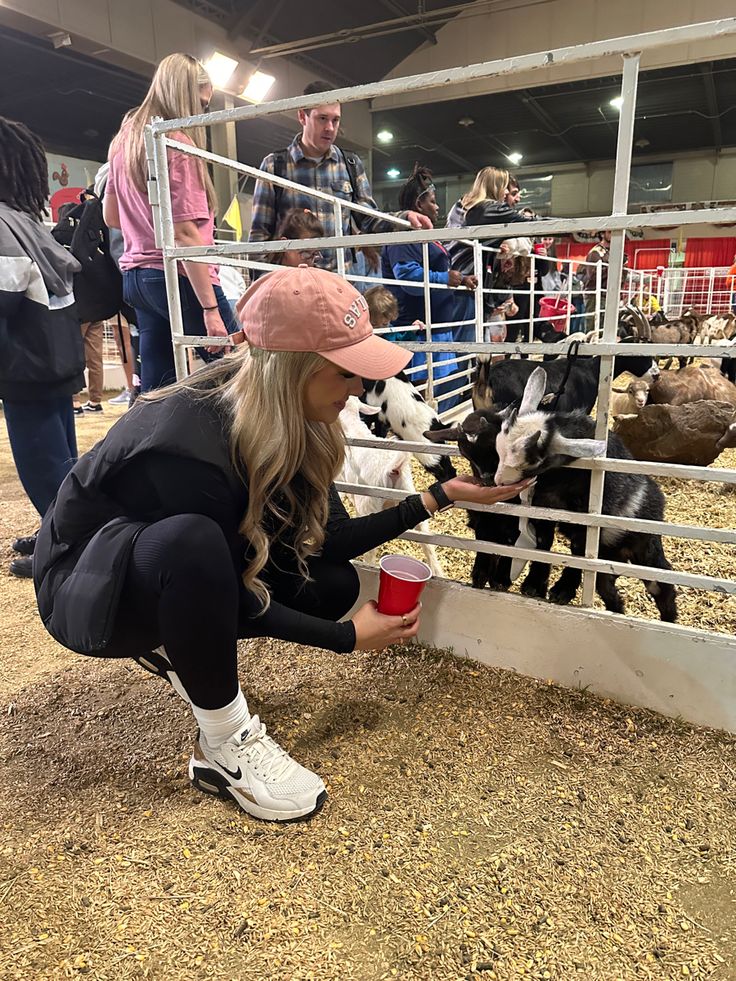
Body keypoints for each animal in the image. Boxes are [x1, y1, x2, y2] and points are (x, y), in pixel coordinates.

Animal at [426, 368, 680, 620]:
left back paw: (668, 618)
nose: (492, 480)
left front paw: (553, 589)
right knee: (607, 584)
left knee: (660, 583)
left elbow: (568, 549)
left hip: (643, 547)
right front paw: (501, 578)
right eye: (466, 453)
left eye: (532, 461)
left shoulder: (577, 518)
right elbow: (514, 541)